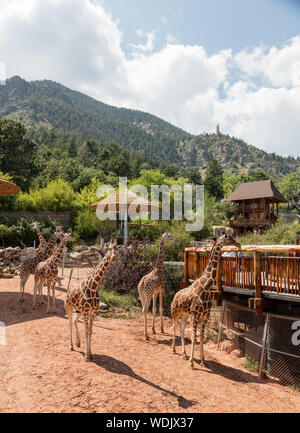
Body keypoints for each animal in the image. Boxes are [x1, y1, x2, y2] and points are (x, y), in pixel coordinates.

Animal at [171, 233, 239, 368]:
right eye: (229, 238)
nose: (238, 244)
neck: (206, 288)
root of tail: (175, 296)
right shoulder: (196, 315)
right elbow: (194, 338)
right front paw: (192, 363)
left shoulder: (204, 316)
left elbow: (201, 337)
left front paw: (202, 361)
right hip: (175, 312)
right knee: (175, 327)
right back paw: (174, 349)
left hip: (185, 314)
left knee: (181, 329)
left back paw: (184, 354)